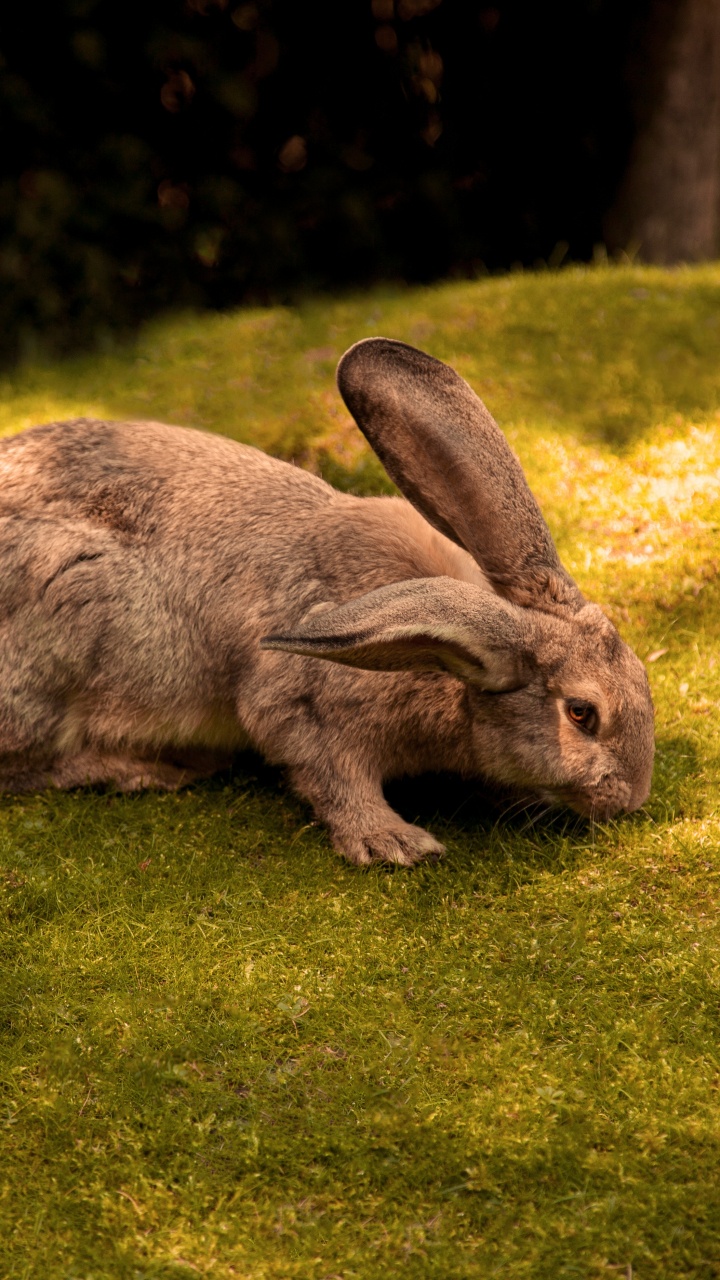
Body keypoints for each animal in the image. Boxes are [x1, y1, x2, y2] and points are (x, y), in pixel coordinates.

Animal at [0, 337, 654, 865]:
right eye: (582, 713)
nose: (631, 798)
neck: (445, 655)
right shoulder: (306, 707)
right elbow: (332, 777)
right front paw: (394, 843)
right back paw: (151, 770)